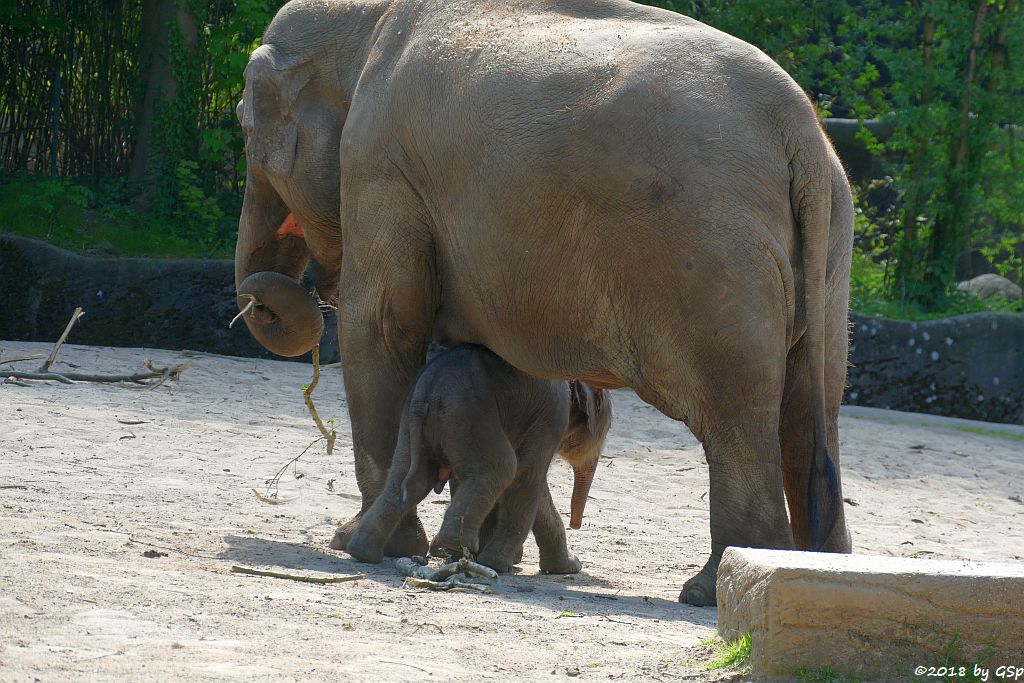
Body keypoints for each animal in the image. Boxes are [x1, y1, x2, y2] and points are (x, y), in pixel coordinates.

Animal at [348, 344, 610, 573]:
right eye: (607, 431)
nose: (575, 525)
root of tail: (428, 389)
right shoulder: (551, 418)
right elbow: (527, 479)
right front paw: (498, 565)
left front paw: (567, 567)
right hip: (468, 415)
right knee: (502, 468)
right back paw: (456, 545)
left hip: (413, 421)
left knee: (405, 480)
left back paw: (363, 552)